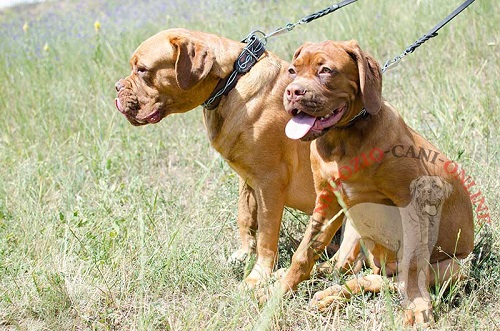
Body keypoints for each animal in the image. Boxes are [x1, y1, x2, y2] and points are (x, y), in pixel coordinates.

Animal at [114, 28, 314, 288]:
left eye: (142, 69)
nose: (117, 86)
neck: (231, 80)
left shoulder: (270, 182)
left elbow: (266, 235)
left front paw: (259, 275)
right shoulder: (248, 180)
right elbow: (245, 216)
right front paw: (244, 254)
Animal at [272, 39, 474, 326]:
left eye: (326, 70)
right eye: (292, 70)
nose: (292, 93)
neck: (343, 139)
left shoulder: (411, 203)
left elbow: (412, 267)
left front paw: (417, 307)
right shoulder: (326, 201)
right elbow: (304, 253)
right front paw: (280, 292)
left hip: (455, 265)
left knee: (387, 280)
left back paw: (336, 295)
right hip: (354, 229)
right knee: (345, 266)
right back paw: (323, 288)